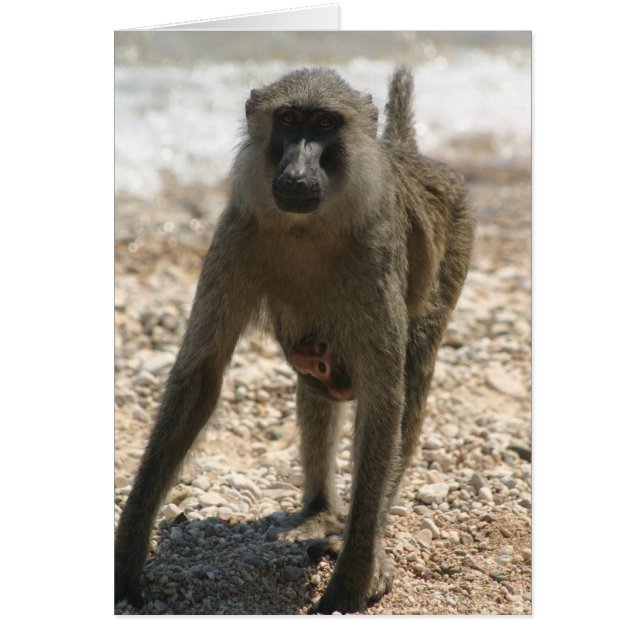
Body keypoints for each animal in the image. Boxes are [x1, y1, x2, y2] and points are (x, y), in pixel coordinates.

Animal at [114, 66, 474, 614]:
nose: (299, 173)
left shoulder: (376, 249)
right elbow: (200, 373)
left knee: (410, 380)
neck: (308, 228)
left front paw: (352, 578)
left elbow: (385, 398)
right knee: (316, 385)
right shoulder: (236, 234)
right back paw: (320, 510)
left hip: (456, 247)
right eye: (287, 119)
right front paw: (128, 557)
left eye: (325, 123)